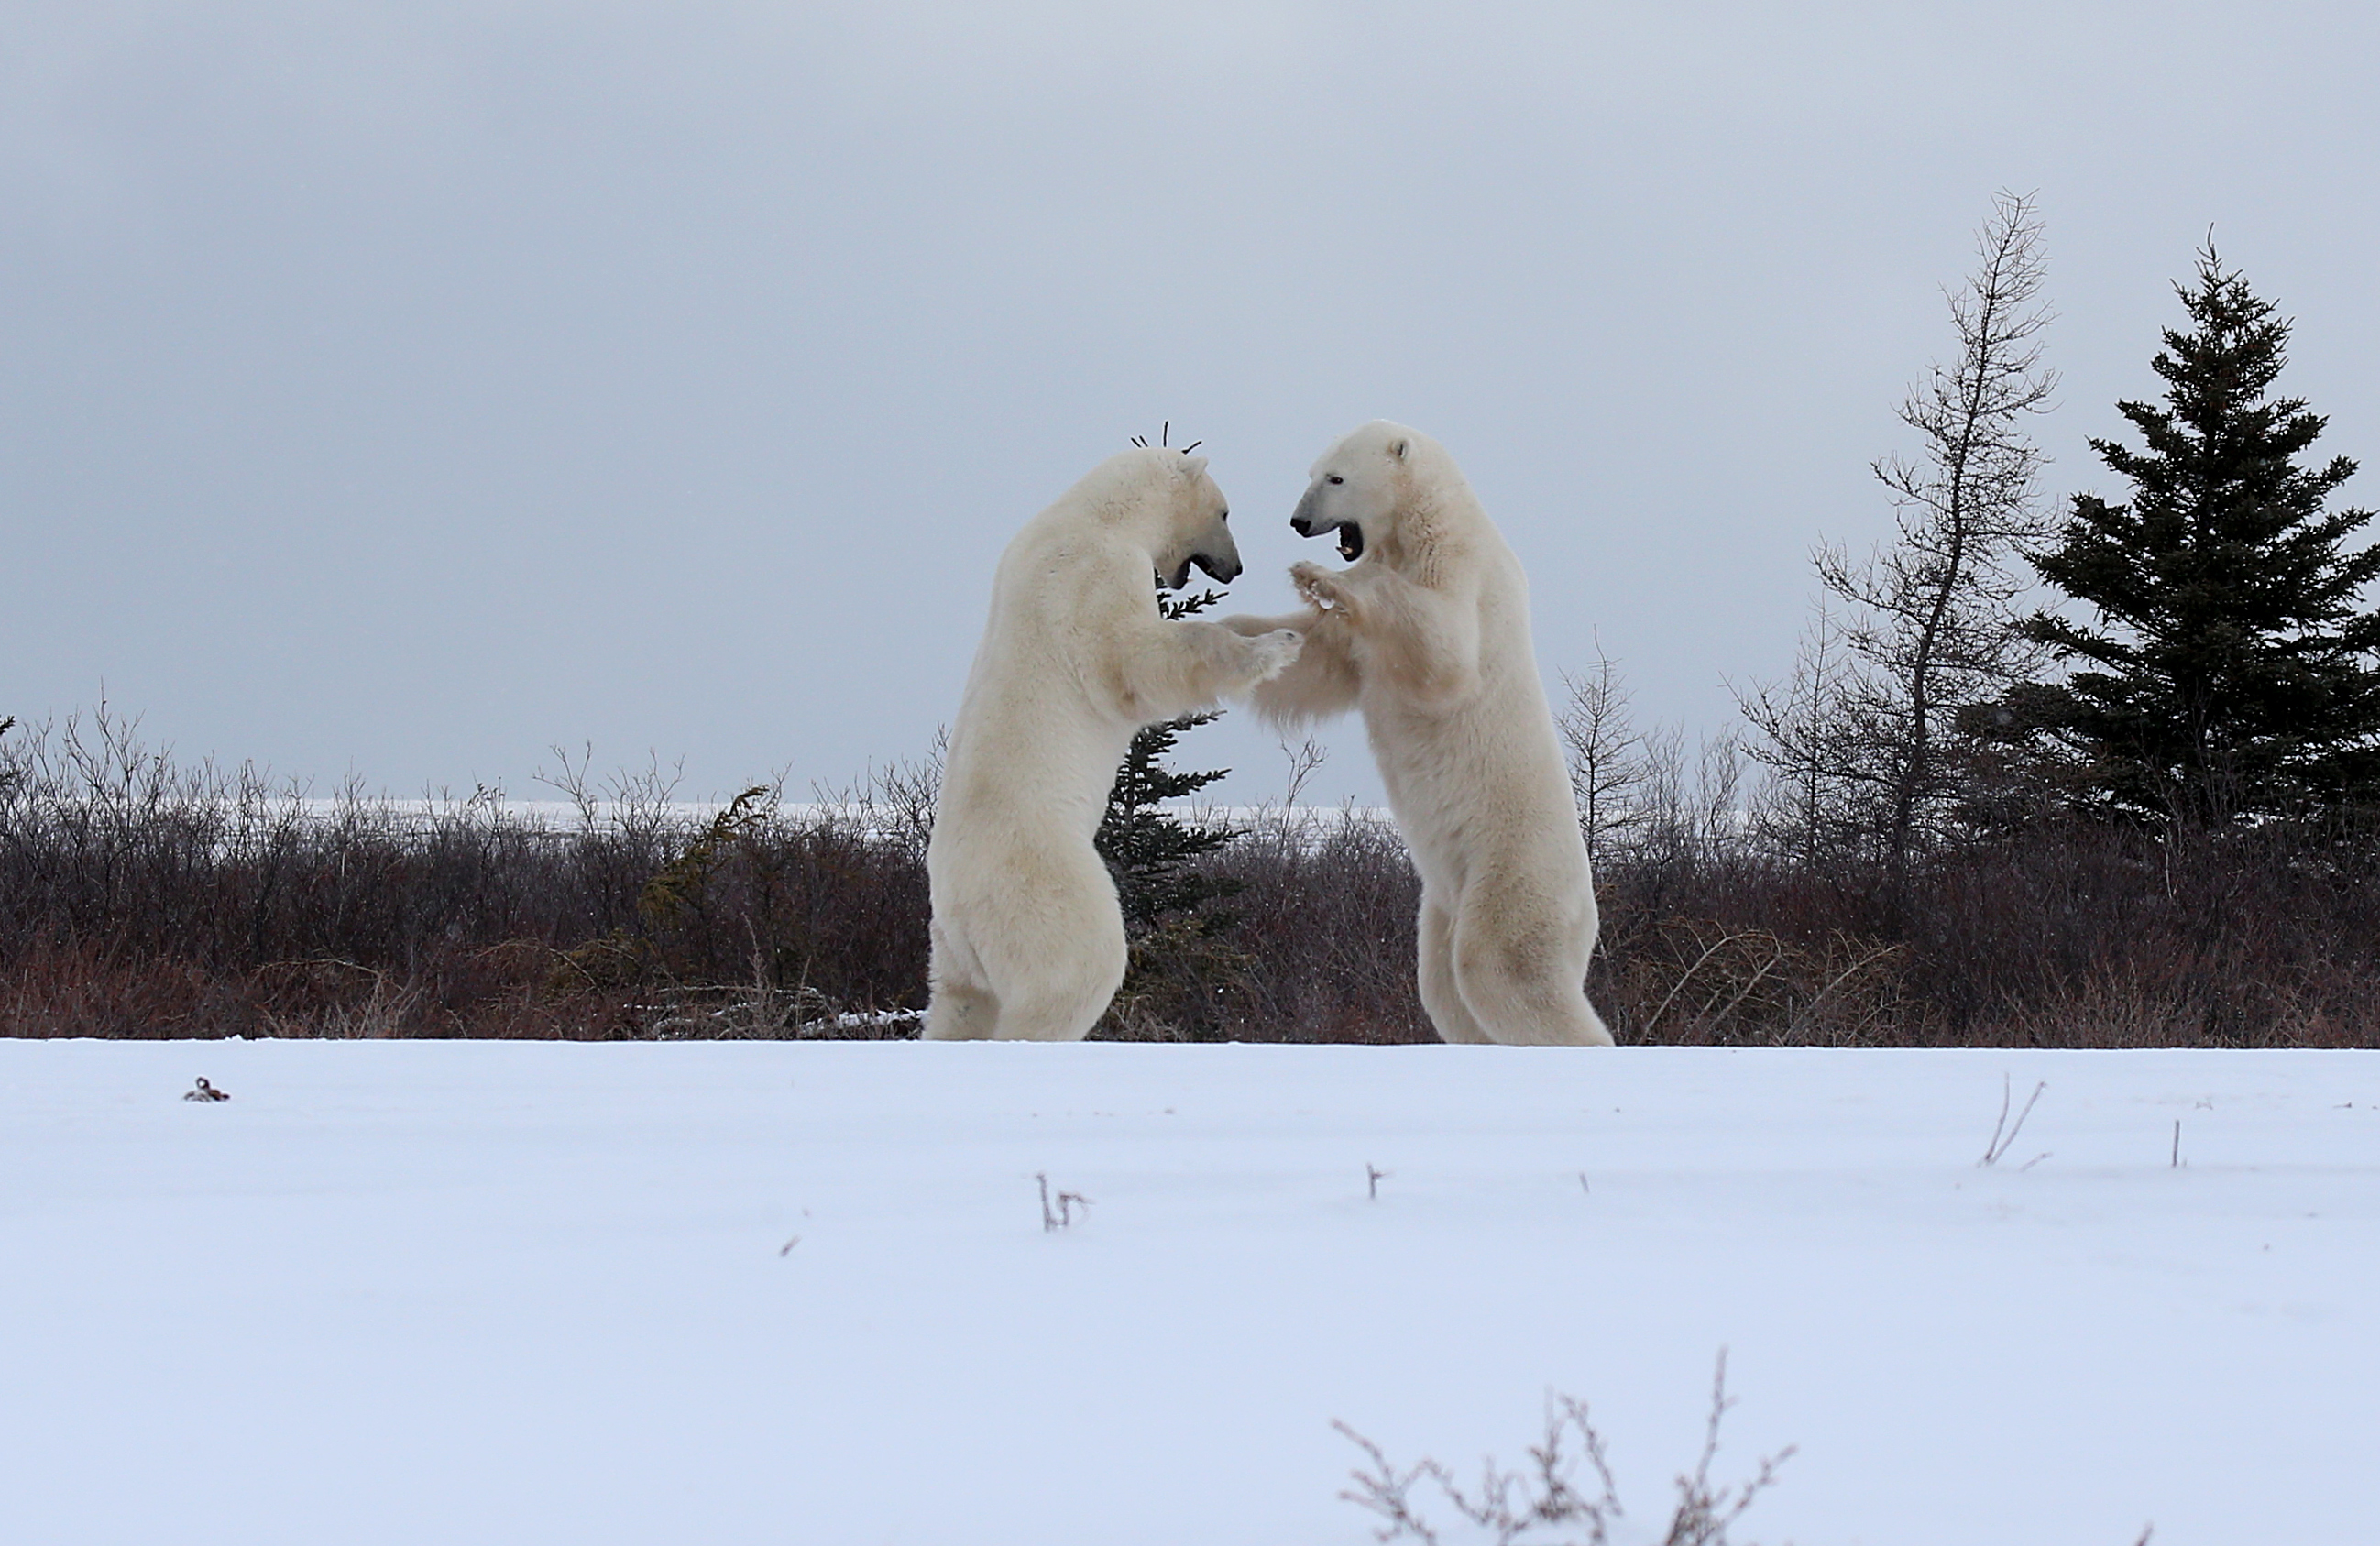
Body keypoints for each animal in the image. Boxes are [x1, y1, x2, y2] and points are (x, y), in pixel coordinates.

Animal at [922, 448, 1303, 1042]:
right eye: (1224, 512)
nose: (1236, 568)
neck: (1095, 515)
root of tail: (959, 906)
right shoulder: (1093, 575)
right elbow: (1135, 659)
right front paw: (1278, 642)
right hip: (1040, 884)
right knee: (1074, 969)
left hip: (952, 948)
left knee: (959, 1004)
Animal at [1222, 420, 1614, 1047]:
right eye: (1312, 472)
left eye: (1336, 478)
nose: (1298, 522)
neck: (1424, 522)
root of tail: (1587, 908)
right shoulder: (1356, 645)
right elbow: (1317, 660)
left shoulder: (1460, 569)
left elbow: (1442, 647)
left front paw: (1321, 577)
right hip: (1442, 901)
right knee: (1443, 986)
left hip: (1511, 874)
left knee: (1499, 966)